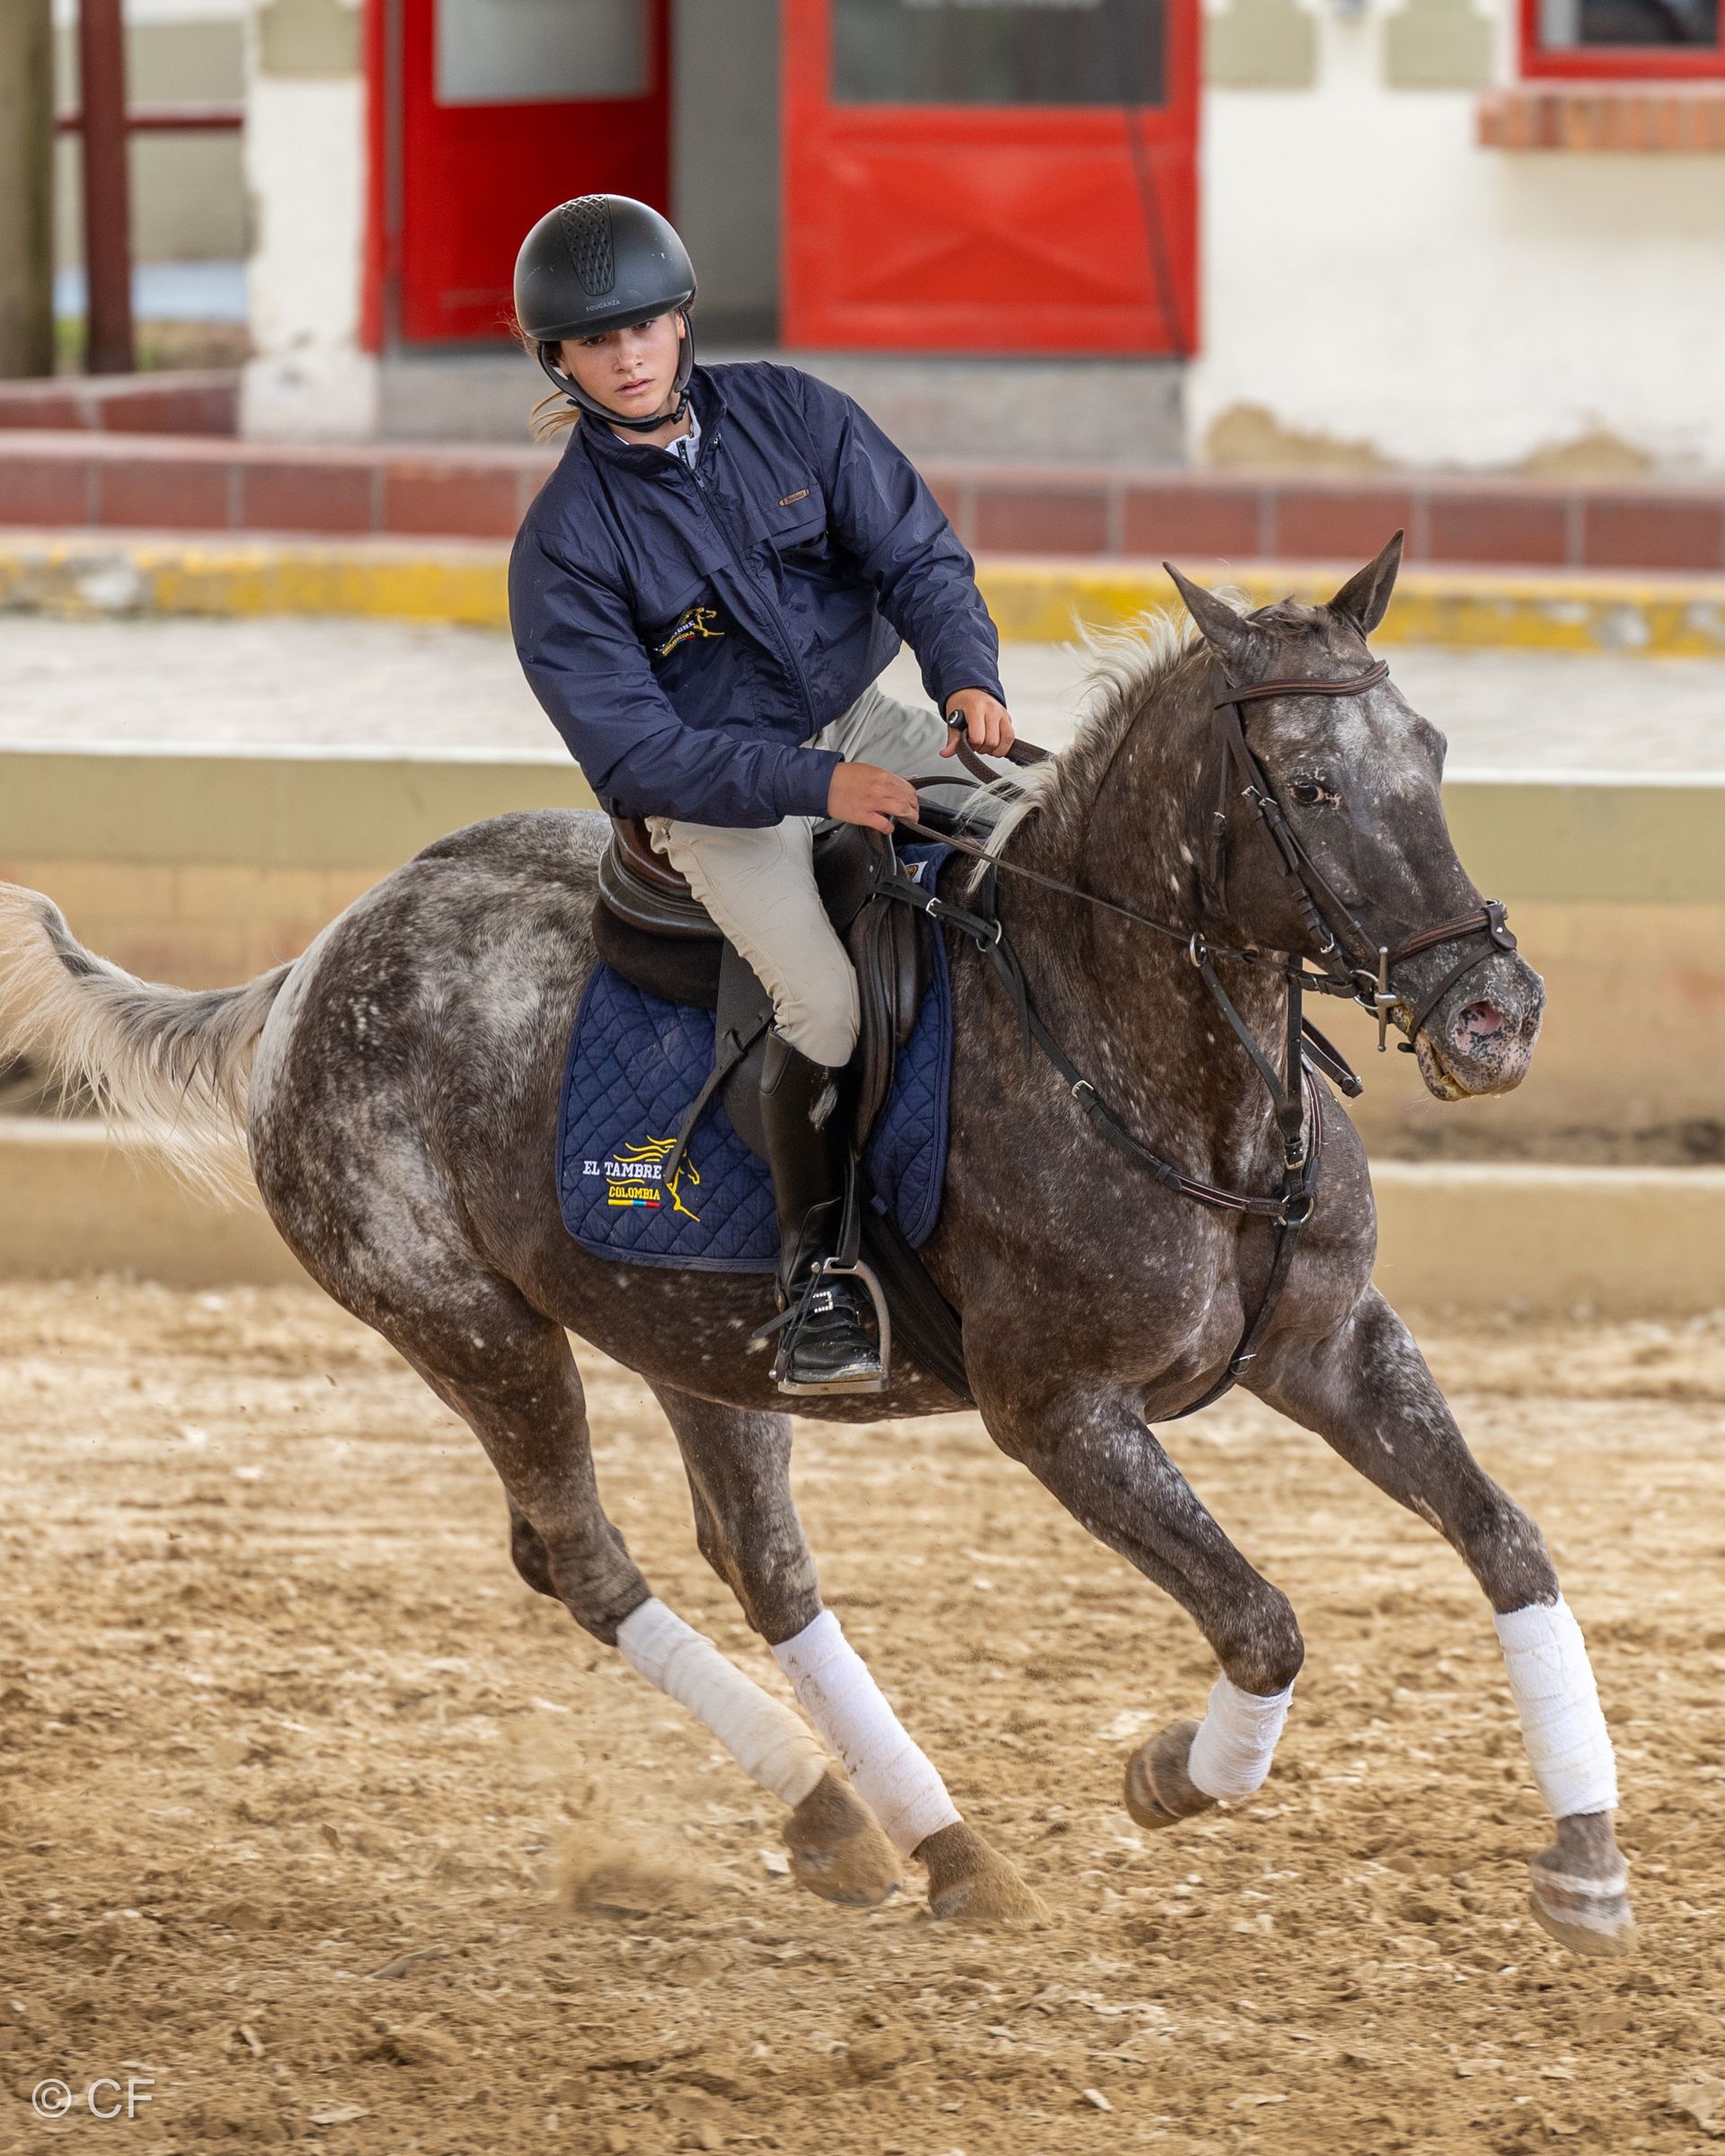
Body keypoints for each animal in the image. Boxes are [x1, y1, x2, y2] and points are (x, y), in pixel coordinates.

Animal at [0, 537, 1633, 1952]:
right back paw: (844, 1818)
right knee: (581, 1555)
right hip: (466, 1321)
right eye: (1309, 782)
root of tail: (315, 961)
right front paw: (1173, 1774)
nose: (1494, 1015)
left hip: (699, 1349)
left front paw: (1585, 1861)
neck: (1153, 1058)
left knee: (761, 1566)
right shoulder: (1063, 1414)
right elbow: (1263, 1621)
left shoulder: (1336, 1344)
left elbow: (1508, 1540)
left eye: (1431, 753)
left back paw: (915, 1840)